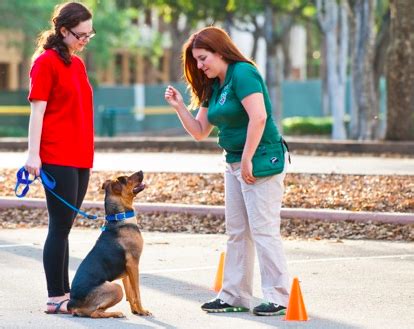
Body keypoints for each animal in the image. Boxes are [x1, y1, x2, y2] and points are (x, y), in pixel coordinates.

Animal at [67, 170, 151, 316]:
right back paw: (115, 313)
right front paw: (142, 310)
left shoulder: (127, 271)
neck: (119, 218)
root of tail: (72, 304)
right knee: (95, 313)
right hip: (116, 288)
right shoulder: (133, 264)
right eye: (125, 179)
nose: (141, 171)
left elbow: (130, 293)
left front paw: (135, 310)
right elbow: (137, 293)